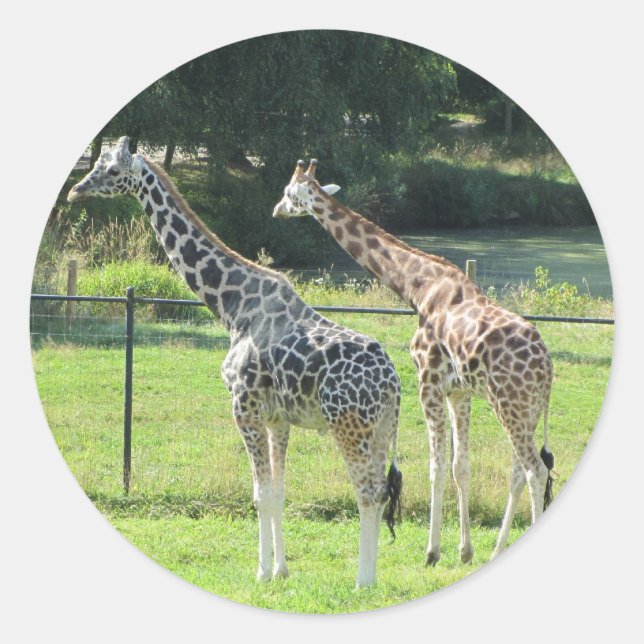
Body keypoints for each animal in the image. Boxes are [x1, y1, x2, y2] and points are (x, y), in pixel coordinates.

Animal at [67, 138, 402, 587]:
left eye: (112, 170)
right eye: (98, 164)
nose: (75, 191)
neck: (231, 307)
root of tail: (392, 382)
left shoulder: (243, 406)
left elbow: (259, 495)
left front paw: (260, 572)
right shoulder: (277, 418)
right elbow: (278, 492)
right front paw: (280, 569)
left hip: (348, 425)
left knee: (368, 491)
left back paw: (363, 581)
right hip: (381, 427)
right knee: (381, 491)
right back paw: (373, 577)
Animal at [273, 159, 555, 566]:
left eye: (288, 192)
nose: (276, 210)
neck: (418, 288)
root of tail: (547, 369)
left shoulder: (428, 380)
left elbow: (435, 467)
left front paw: (432, 552)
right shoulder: (459, 392)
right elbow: (460, 466)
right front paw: (465, 550)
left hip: (510, 405)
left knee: (535, 470)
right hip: (526, 409)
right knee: (519, 471)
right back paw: (497, 550)